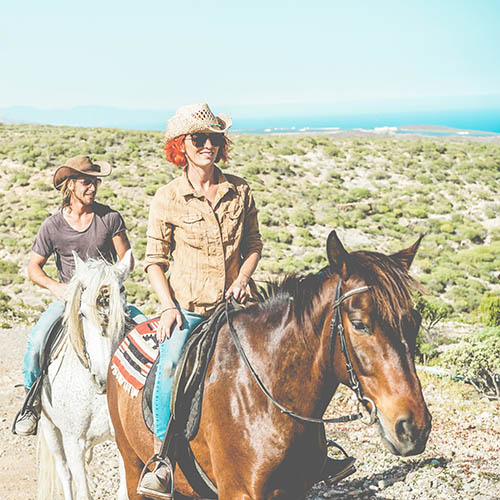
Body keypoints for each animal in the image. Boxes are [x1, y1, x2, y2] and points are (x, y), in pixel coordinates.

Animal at [37, 252, 133, 498]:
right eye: (82, 314)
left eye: (123, 313)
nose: (102, 379)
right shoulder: (73, 442)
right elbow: (82, 490)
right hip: (50, 429)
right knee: (64, 473)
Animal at [107, 232, 432, 498]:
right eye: (359, 324)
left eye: (414, 321)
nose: (414, 428)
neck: (266, 398)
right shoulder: (239, 493)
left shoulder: (295, 491)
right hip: (132, 463)